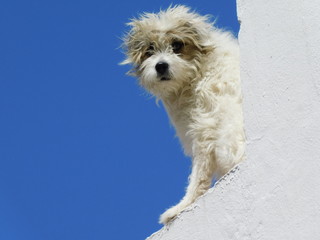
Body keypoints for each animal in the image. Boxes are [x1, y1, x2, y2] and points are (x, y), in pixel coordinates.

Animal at [121, 4, 246, 224]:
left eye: (177, 45)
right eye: (149, 50)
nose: (161, 66)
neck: (197, 71)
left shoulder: (204, 128)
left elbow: (198, 176)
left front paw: (182, 206)